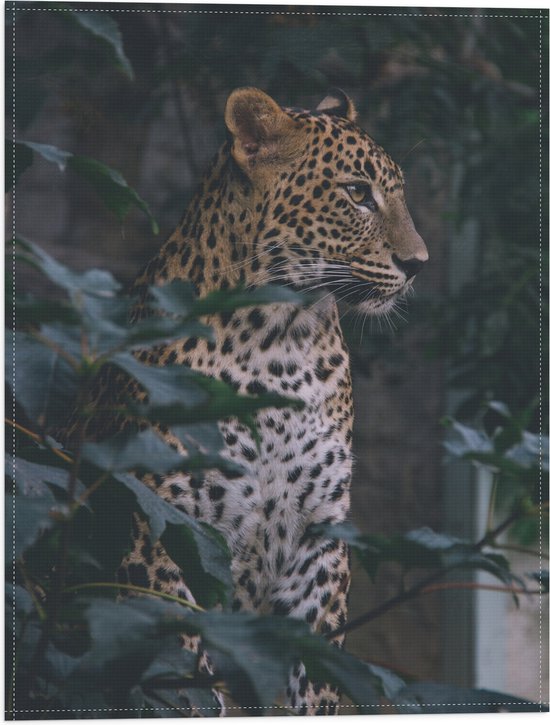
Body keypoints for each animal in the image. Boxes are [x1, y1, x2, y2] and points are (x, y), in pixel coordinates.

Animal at [97, 87, 430, 716]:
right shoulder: (161, 529)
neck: (278, 340)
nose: (419, 264)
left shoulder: (318, 543)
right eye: (357, 194)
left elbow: (314, 676)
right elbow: (186, 675)